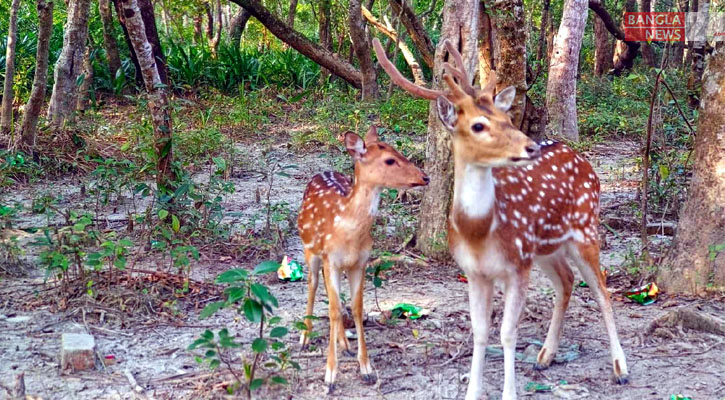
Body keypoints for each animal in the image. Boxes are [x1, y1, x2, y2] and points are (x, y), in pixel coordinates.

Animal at [296, 126, 428, 392]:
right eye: (389, 160)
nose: (424, 177)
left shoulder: (360, 263)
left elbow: (356, 308)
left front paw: (366, 369)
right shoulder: (331, 259)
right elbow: (334, 310)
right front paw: (330, 376)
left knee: (333, 297)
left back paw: (345, 344)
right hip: (310, 249)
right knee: (313, 285)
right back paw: (305, 337)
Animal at [374, 38, 628, 400]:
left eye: (506, 119)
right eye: (478, 125)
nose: (530, 146)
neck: (480, 233)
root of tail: (582, 159)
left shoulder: (517, 266)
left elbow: (508, 332)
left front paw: (509, 393)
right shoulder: (475, 272)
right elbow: (480, 332)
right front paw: (472, 393)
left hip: (584, 228)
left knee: (602, 291)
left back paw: (620, 368)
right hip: (545, 247)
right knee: (566, 281)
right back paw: (545, 356)